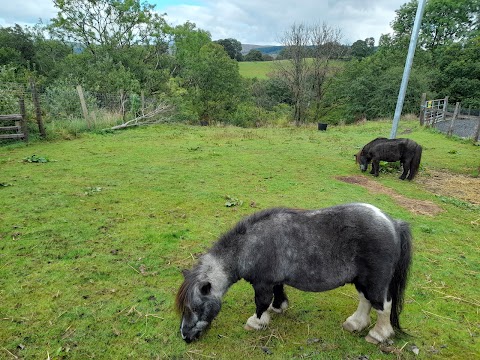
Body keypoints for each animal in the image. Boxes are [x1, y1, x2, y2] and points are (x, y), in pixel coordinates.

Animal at [176, 204, 412, 344]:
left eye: (195, 307)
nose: (185, 336)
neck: (251, 245)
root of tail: (393, 223)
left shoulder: (262, 283)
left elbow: (261, 303)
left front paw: (256, 322)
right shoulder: (274, 280)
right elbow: (277, 294)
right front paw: (278, 308)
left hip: (375, 281)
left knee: (383, 306)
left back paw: (378, 335)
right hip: (362, 280)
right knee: (366, 300)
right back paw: (355, 323)